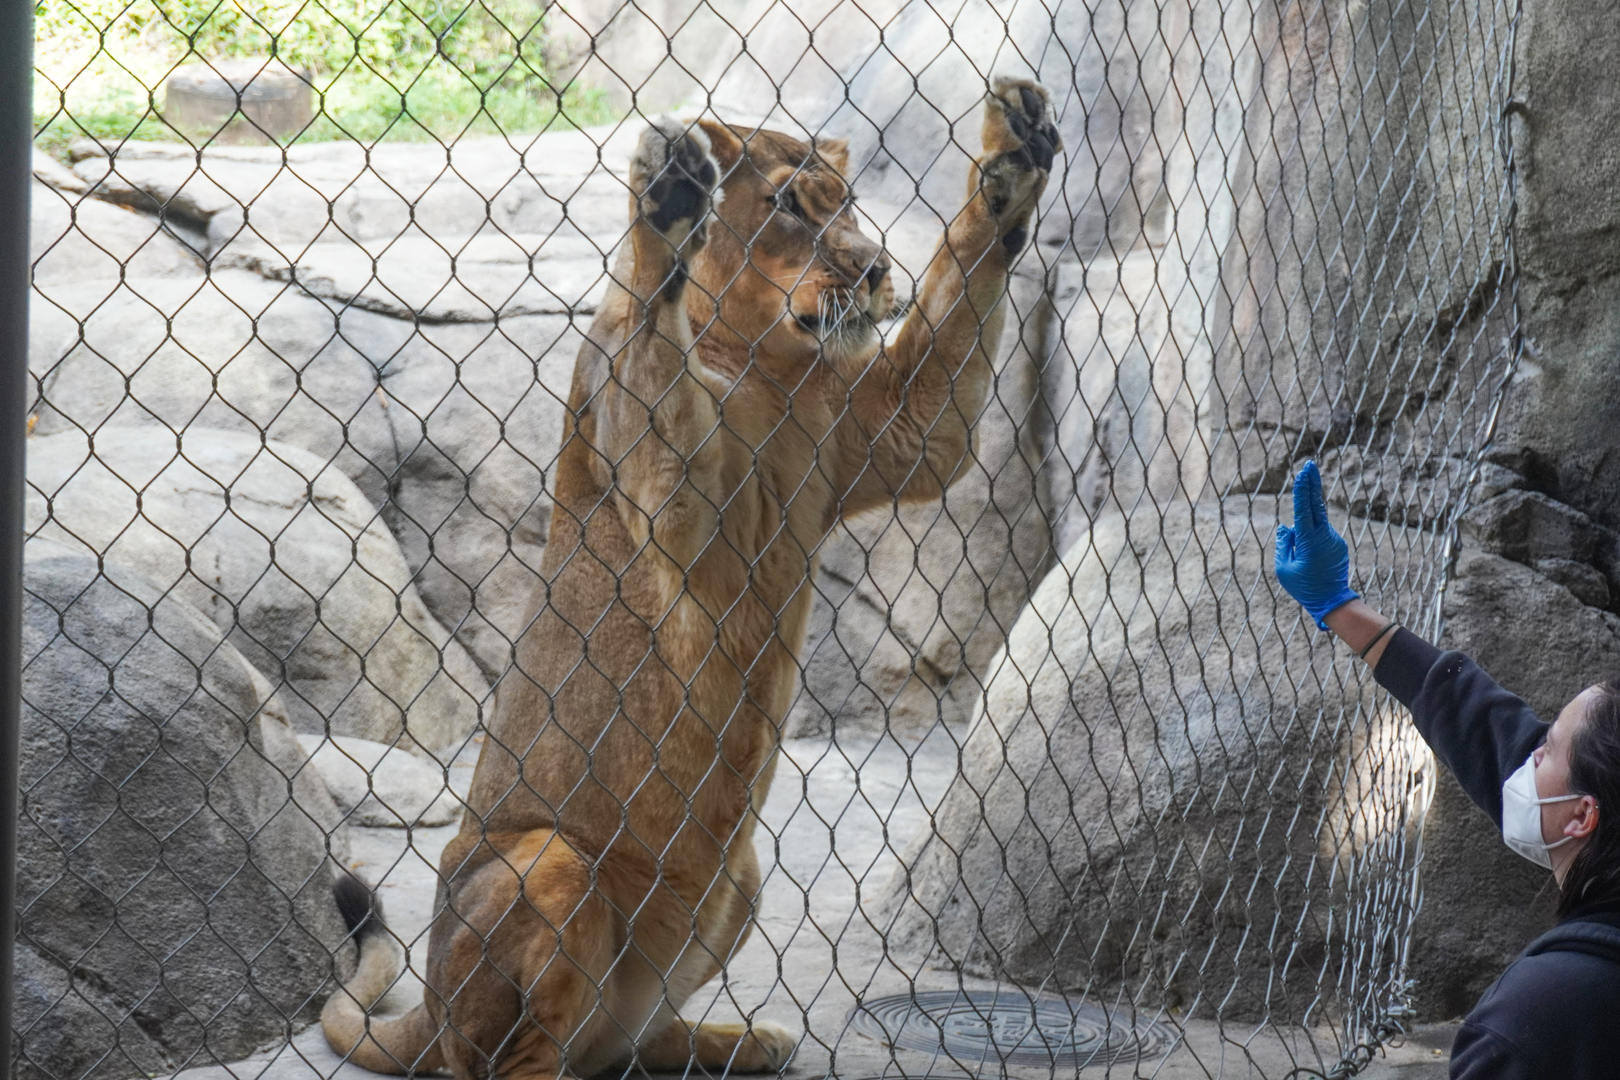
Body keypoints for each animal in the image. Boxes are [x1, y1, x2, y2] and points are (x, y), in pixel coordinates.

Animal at [320, 77, 1060, 1080]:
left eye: (850, 205)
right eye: (790, 205)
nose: (873, 270)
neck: (771, 366)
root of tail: (426, 1012)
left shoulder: (896, 437)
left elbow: (957, 300)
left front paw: (1013, 157)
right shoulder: (677, 496)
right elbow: (649, 334)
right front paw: (669, 201)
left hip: (738, 882)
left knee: (626, 1041)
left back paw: (740, 1038)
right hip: (546, 861)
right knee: (506, 1059)